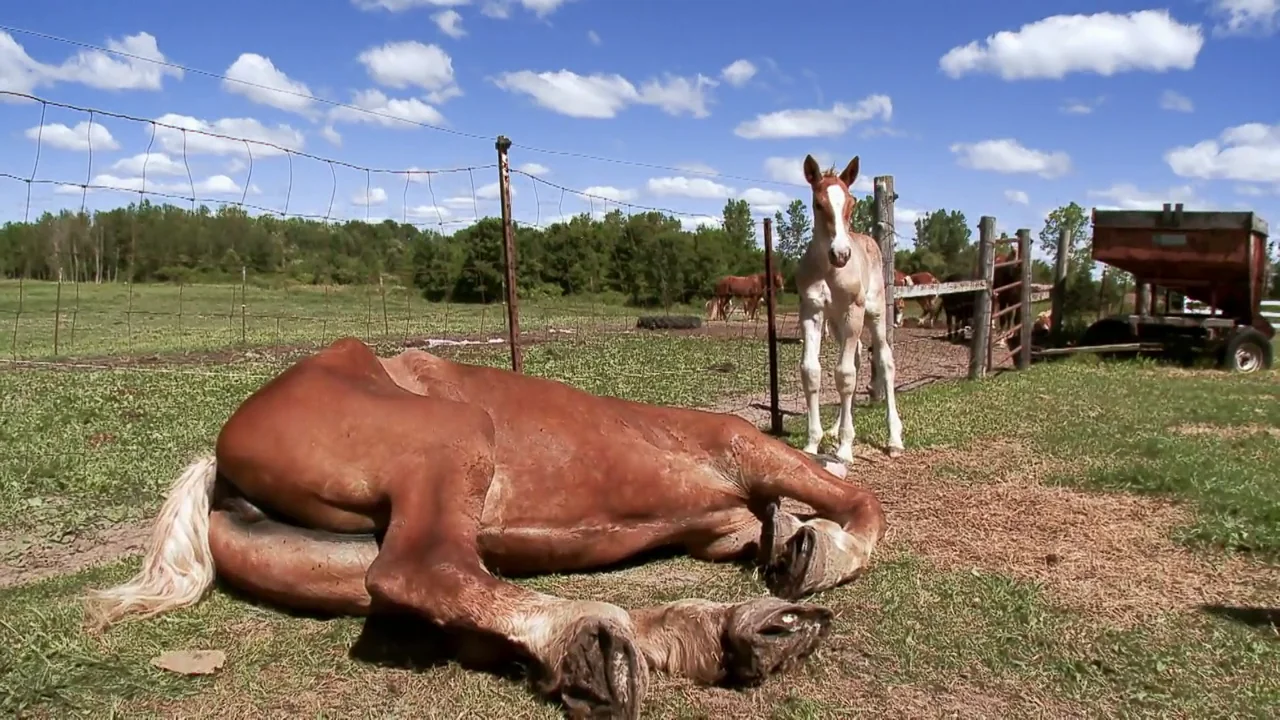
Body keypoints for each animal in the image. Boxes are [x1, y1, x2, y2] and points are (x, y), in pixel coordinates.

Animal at [83, 337, 885, 719]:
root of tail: (220, 460)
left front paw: (788, 549)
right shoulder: (744, 447)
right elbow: (860, 503)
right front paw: (819, 552)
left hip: (336, 564)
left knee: (453, 603)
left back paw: (714, 635)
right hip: (454, 435)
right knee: (426, 573)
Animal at [794, 154, 905, 463]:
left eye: (852, 203)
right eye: (818, 203)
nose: (841, 254)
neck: (829, 270)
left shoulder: (853, 312)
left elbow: (845, 376)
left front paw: (845, 449)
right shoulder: (812, 312)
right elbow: (812, 371)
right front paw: (813, 443)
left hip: (874, 315)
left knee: (885, 361)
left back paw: (894, 440)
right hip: (836, 324)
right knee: (854, 360)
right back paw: (836, 428)